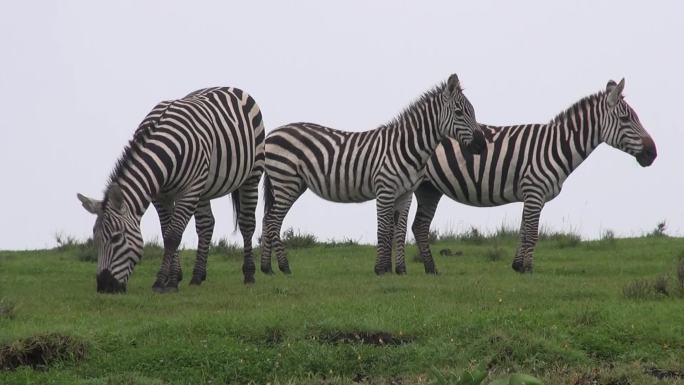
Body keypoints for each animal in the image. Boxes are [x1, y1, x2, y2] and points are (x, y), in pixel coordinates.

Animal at [77, 86, 264, 292]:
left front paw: (163, 282)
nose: (104, 287)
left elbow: (172, 236)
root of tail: (229, 87)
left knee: (247, 223)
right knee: (206, 225)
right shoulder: (160, 196)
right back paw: (197, 276)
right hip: (203, 188)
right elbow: (166, 231)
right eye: (95, 240)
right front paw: (174, 277)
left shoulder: (188, 191)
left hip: (251, 175)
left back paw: (249, 274)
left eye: (116, 238)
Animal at [260, 73, 486, 274]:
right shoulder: (385, 189)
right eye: (459, 112)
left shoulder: (405, 194)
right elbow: (384, 230)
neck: (406, 146)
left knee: (267, 220)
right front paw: (381, 269)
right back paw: (284, 267)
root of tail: (271, 133)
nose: (482, 146)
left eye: (473, 111)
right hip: (286, 181)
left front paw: (400, 270)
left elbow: (400, 231)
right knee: (273, 221)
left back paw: (267, 268)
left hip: (294, 184)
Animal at [404, 79, 660, 272]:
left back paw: (430, 269)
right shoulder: (534, 191)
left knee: (419, 226)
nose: (653, 153)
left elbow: (523, 230)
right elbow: (532, 233)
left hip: (429, 189)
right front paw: (527, 269)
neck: (555, 146)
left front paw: (517, 265)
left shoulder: (533, 195)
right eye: (626, 119)